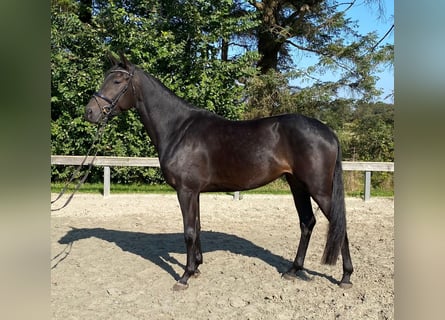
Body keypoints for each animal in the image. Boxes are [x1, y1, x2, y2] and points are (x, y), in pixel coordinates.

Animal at [85, 54, 352, 290]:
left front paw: (185, 276)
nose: (89, 112)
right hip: (297, 185)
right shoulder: (195, 192)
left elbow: (189, 232)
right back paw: (293, 270)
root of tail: (329, 132)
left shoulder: (185, 191)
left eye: (117, 81)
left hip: (320, 190)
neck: (178, 129)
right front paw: (196, 267)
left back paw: (346, 277)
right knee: (307, 222)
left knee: (338, 224)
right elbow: (197, 227)